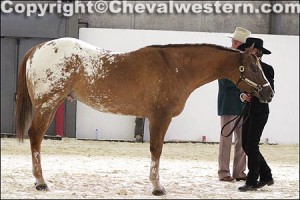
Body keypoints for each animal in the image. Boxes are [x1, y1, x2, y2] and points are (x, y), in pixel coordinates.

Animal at [15, 37, 274, 195]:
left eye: (261, 66)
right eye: (254, 67)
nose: (269, 93)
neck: (175, 68)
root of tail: (37, 49)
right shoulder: (160, 117)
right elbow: (156, 150)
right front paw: (157, 187)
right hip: (47, 104)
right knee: (35, 136)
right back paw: (41, 182)